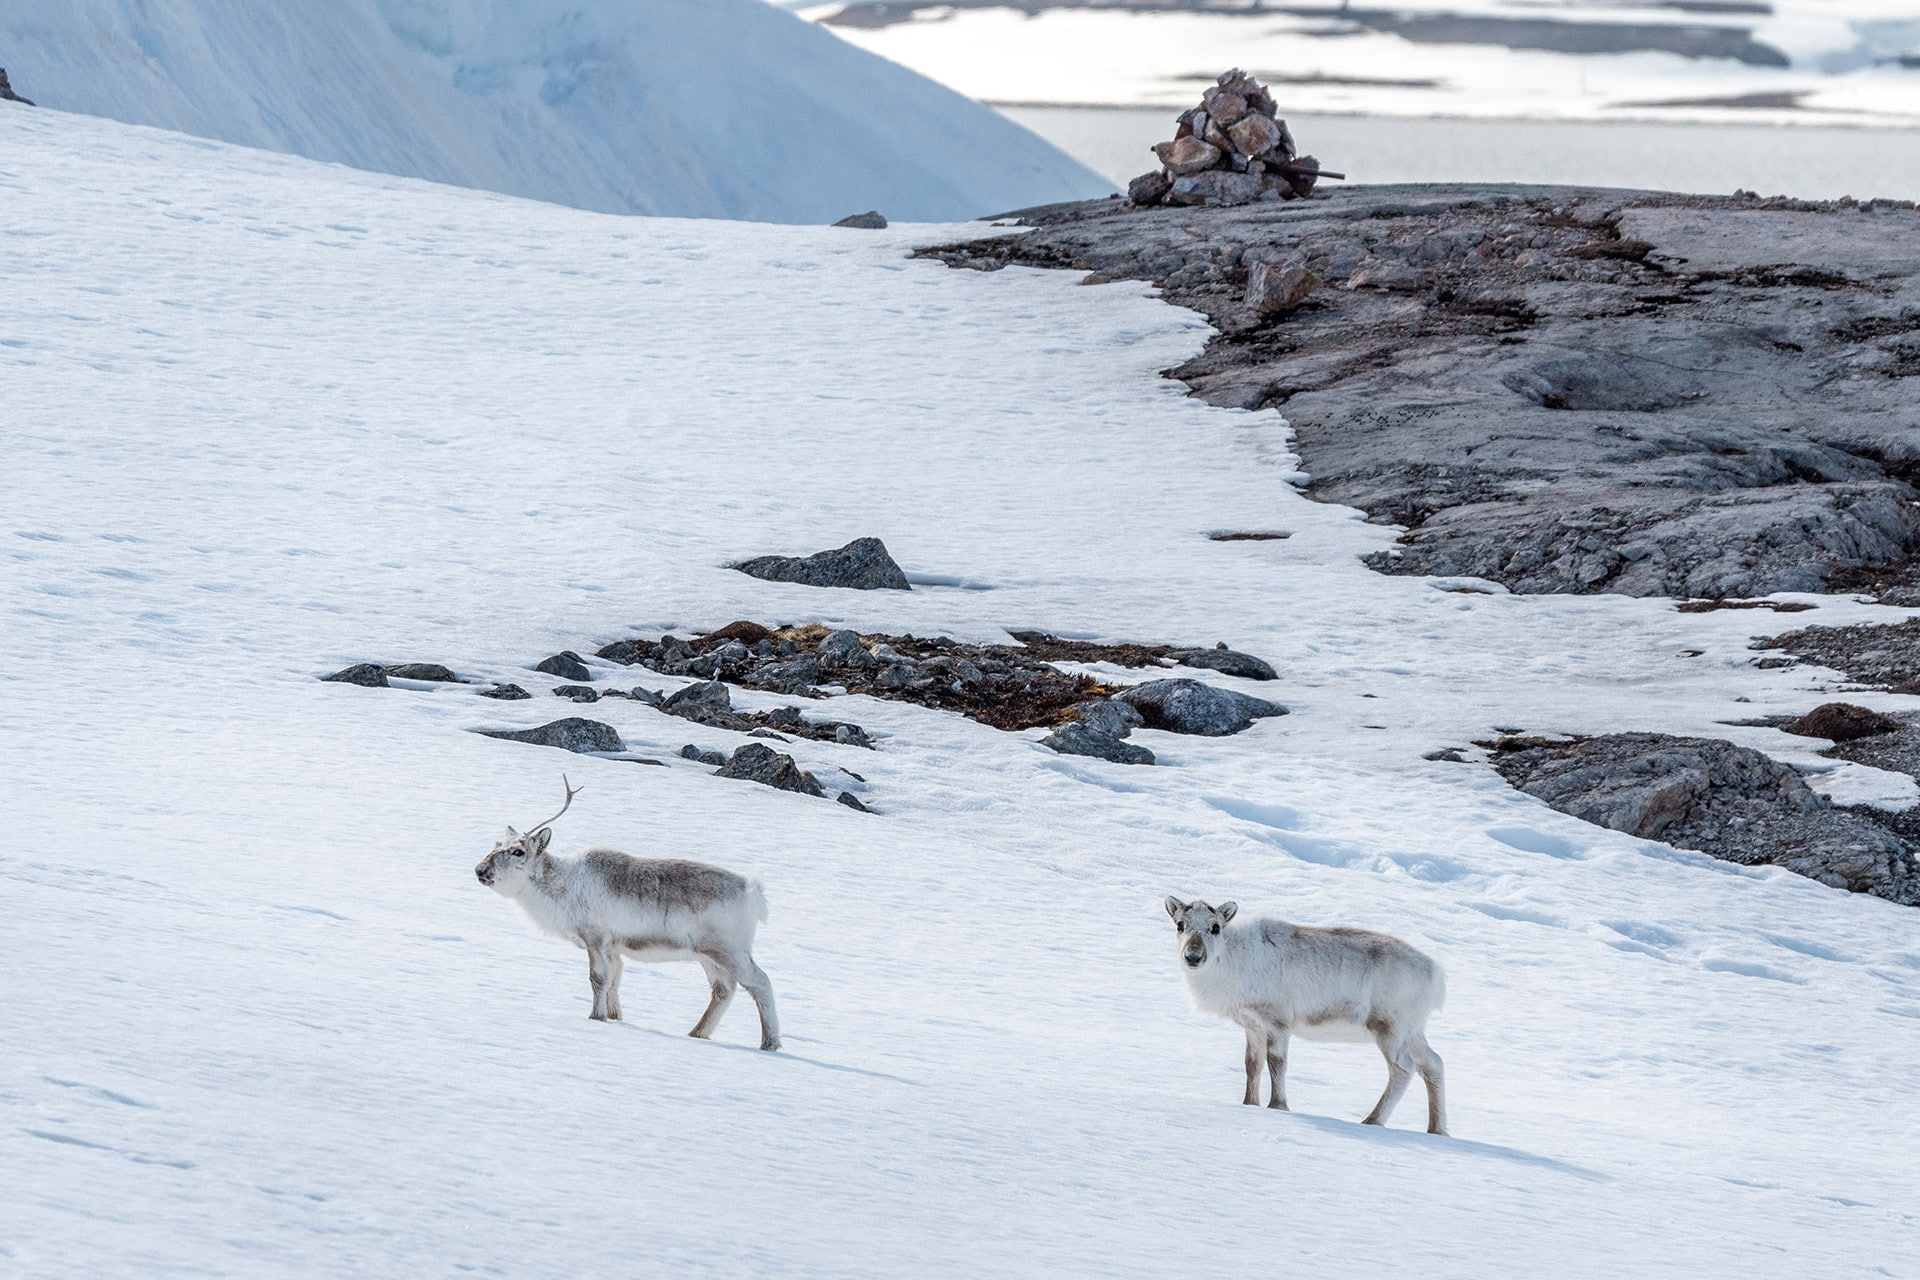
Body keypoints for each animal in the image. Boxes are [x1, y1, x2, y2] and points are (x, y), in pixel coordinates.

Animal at [476, 778, 780, 1050]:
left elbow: (598, 978)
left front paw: (595, 1016)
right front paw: (613, 1017)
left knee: (760, 982)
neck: (560, 886)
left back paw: (770, 1042)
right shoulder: (613, 945)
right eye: (496, 844)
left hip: (729, 949)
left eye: (518, 851)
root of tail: (753, 891)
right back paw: (697, 1033)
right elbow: (615, 979)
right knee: (724, 989)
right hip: (707, 955)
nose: (480, 870)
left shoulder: (594, 937)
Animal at [1164, 897, 1447, 1135]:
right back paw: (1436, 1129)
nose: (1193, 956)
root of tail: (1436, 975)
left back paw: (1372, 1120)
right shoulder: (1252, 1024)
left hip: (1389, 1029)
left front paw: (1278, 1106)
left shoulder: (1277, 1022)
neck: (1232, 961)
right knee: (1433, 1063)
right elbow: (1252, 1064)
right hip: (1413, 1031)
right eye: (1180, 924)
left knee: (1403, 1068)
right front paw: (1249, 1104)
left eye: (1215, 927)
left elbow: (1276, 1063)